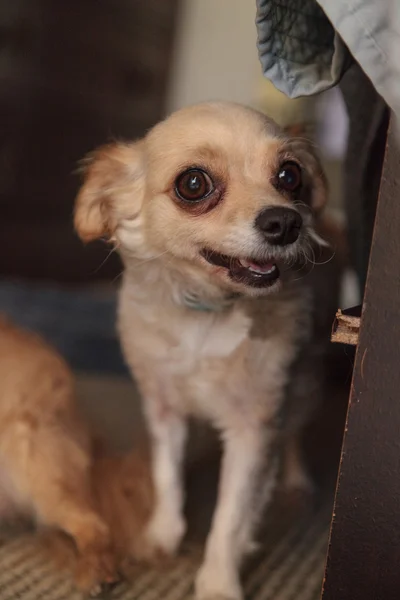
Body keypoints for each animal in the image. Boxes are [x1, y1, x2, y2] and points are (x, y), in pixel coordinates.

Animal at [75, 103, 340, 600]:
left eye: (290, 175)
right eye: (193, 184)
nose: (286, 222)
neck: (205, 313)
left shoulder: (253, 428)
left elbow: (230, 518)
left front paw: (217, 582)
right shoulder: (164, 411)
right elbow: (167, 478)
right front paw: (162, 536)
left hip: (307, 383)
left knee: (295, 432)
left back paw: (296, 480)